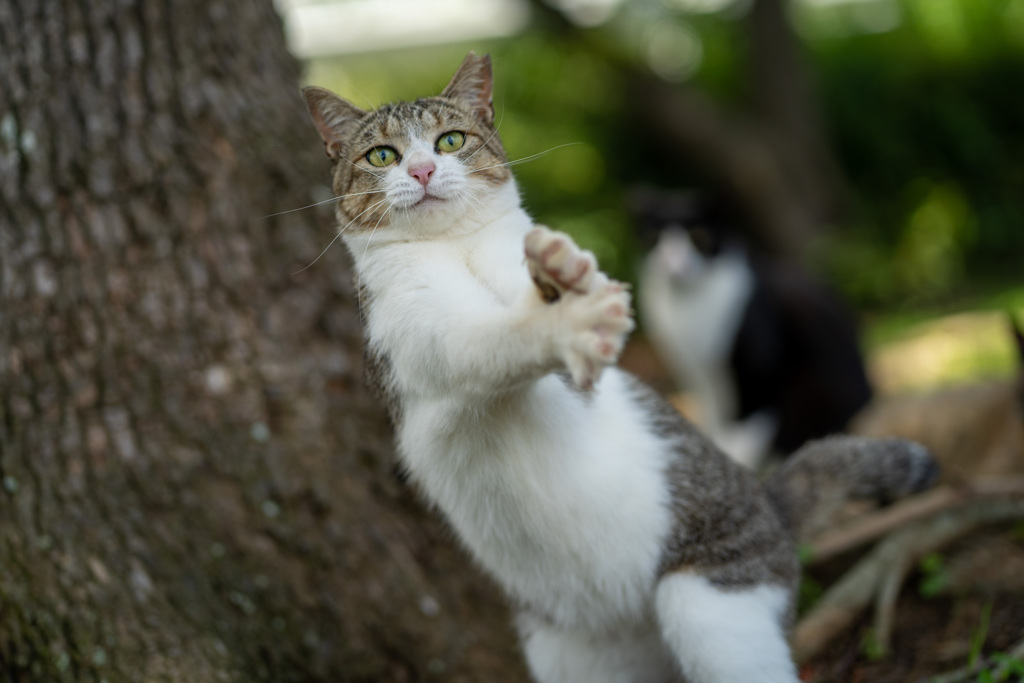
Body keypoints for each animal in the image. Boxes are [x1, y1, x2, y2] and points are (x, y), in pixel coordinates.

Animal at [630, 192, 872, 471]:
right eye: (654, 238)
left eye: (699, 236)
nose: (674, 267)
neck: (688, 305)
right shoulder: (699, 375)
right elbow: (714, 423)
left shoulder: (758, 368)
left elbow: (743, 433)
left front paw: (736, 464)